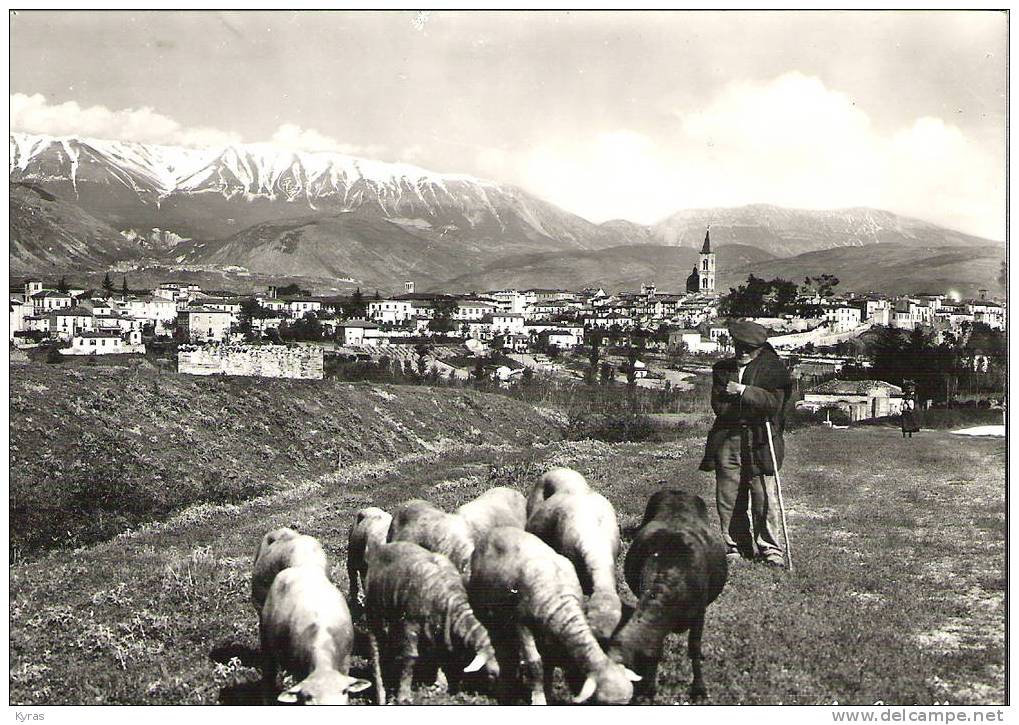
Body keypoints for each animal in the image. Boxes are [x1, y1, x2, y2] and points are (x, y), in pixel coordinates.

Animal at [466, 526, 635, 705]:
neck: (563, 605)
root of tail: (496, 530)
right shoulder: (521, 622)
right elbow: (535, 663)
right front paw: (539, 698)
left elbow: (550, 664)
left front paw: (548, 694)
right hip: (479, 598)